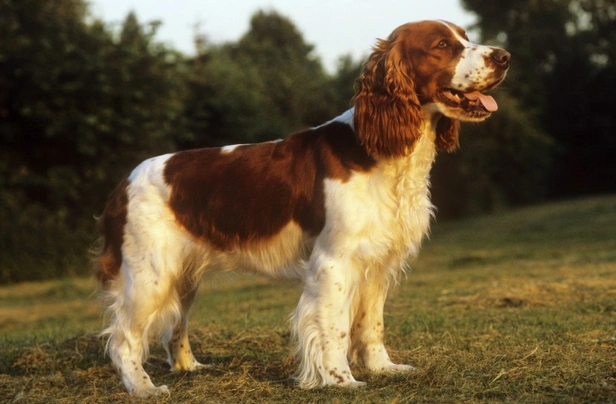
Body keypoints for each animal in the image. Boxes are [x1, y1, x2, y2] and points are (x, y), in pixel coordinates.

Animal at [97, 20, 510, 396]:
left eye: (466, 37)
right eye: (442, 44)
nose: (504, 56)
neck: (381, 152)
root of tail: (121, 185)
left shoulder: (377, 264)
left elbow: (371, 324)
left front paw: (383, 368)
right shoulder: (333, 262)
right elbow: (335, 328)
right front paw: (341, 380)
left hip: (181, 276)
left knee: (174, 326)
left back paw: (190, 367)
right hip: (148, 275)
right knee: (124, 340)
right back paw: (144, 388)